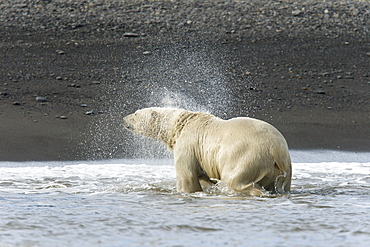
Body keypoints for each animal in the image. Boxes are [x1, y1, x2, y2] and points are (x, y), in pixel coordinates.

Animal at [124, 107, 292, 196]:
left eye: (136, 113)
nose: (124, 119)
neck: (181, 123)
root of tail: (277, 151)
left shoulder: (188, 144)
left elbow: (187, 176)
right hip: (280, 169)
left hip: (248, 157)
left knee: (234, 179)